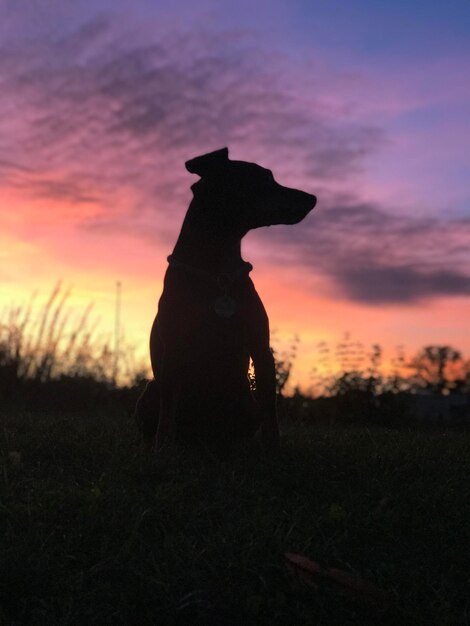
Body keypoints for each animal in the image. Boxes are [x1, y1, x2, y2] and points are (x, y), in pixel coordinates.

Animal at [135, 147, 316, 448]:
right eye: (264, 179)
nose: (312, 198)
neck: (217, 270)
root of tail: (205, 436)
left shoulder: (260, 347)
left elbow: (271, 409)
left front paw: (273, 447)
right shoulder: (173, 347)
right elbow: (168, 410)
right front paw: (162, 447)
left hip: (246, 403)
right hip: (150, 391)